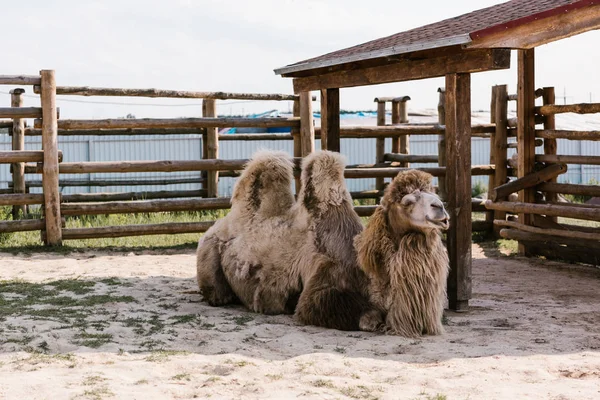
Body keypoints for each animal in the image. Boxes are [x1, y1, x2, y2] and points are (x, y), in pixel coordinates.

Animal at [198, 150, 384, 332]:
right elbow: (315, 305)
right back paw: (221, 298)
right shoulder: (324, 271)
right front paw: (372, 320)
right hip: (209, 246)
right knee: (216, 290)